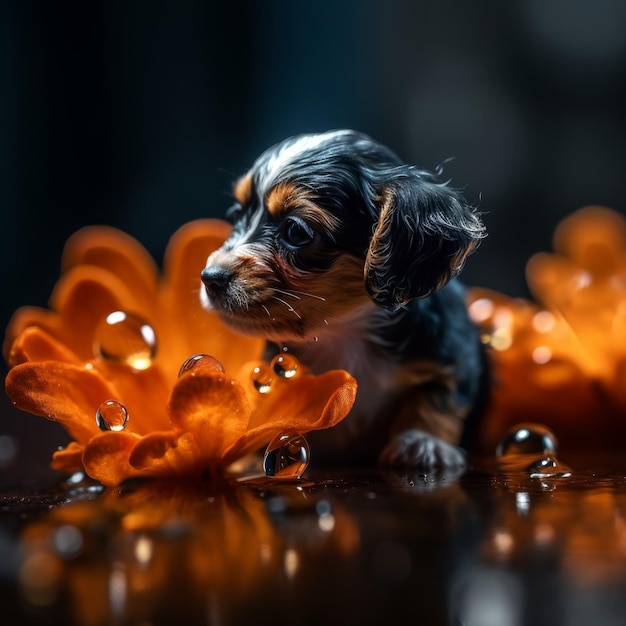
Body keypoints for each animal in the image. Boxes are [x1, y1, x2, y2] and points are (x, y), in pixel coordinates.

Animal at [201, 128, 488, 468]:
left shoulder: (455, 356)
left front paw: (423, 443)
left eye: (296, 231)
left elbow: (439, 399)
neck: (345, 332)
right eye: (236, 214)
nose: (210, 277)